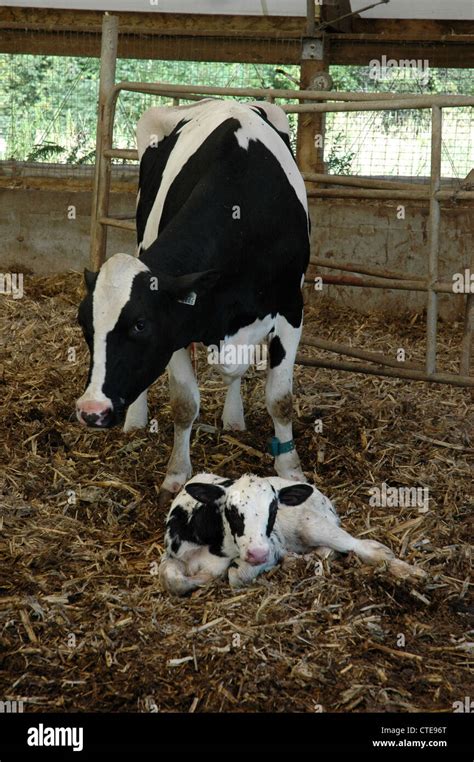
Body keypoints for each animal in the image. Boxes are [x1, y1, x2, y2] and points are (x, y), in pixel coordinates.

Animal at [78, 98, 312, 496]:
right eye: (85, 326)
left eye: (140, 325)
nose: (91, 410)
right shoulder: (177, 323)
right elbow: (184, 403)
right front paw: (177, 472)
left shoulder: (290, 308)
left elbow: (280, 399)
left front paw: (290, 467)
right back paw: (136, 418)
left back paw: (233, 417)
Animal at [159, 470, 426, 592]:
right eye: (232, 510)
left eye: (273, 509)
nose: (258, 553)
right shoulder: (172, 555)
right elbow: (172, 580)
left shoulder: (270, 547)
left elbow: (236, 576)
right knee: (324, 552)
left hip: (313, 525)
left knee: (367, 548)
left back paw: (412, 574)